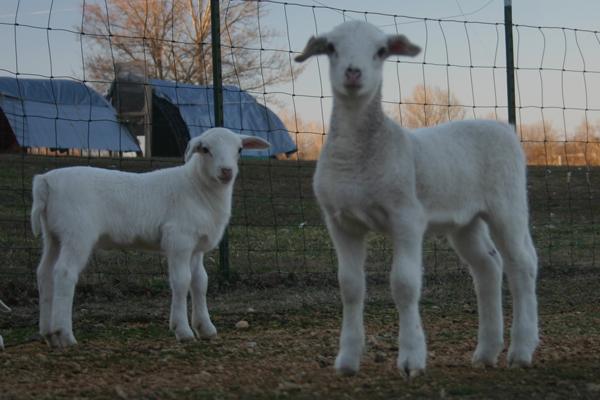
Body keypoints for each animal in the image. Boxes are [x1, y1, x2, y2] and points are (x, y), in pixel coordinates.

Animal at [29, 127, 270, 346]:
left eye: (239, 149)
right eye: (205, 149)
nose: (226, 171)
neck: (197, 187)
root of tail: (45, 181)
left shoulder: (196, 246)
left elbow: (200, 281)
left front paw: (205, 328)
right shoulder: (179, 239)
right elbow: (182, 281)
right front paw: (183, 330)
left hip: (54, 235)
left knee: (44, 273)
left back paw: (49, 334)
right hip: (77, 233)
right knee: (64, 273)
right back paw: (65, 334)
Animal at [296, 21, 540, 378]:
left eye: (381, 51)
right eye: (330, 48)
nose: (353, 73)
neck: (358, 158)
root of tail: (504, 127)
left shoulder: (406, 216)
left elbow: (405, 284)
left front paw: (411, 359)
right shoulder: (340, 221)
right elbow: (350, 286)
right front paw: (347, 360)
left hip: (508, 203)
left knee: (522, 264)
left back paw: (522, 349)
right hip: (465, 220)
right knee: (488, 267)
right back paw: (486, 351)